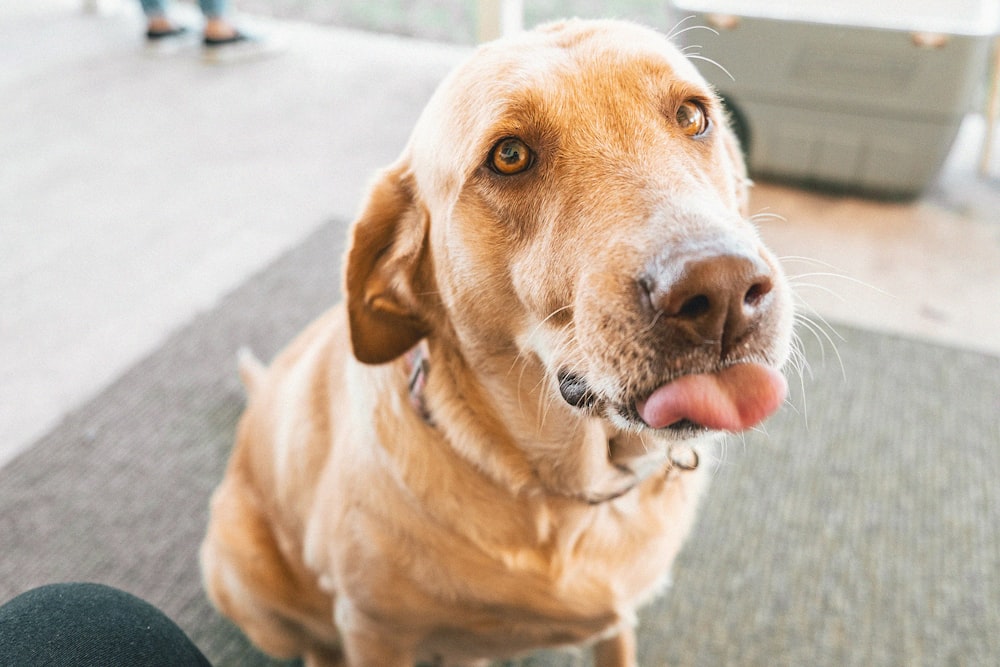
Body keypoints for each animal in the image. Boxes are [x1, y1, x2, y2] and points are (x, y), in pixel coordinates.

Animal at [201, 19, 796, 667]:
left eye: (692, 116)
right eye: (510, 156)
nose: (724, 289)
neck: (566, 494)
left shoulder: (617, 625)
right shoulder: (371, 628)